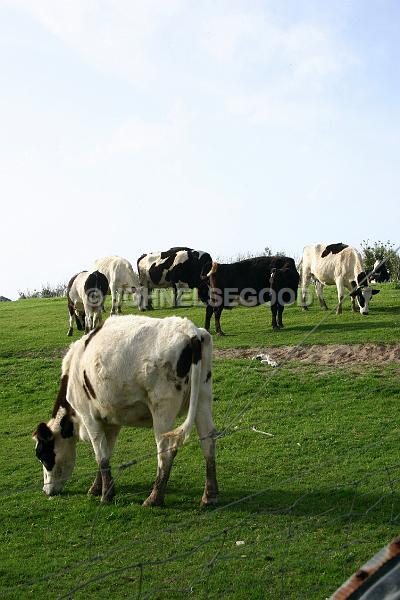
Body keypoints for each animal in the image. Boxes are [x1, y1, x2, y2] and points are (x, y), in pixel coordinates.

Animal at [32, 314, 217, 506]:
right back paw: (209, 496)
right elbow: (106, 453)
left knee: (166, 451)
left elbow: (100, 456)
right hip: (202, 398)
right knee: (208, 441)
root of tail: (190, 330)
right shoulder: (111, 421)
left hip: (162, 410)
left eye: (42, 455)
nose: (45, 490)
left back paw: (154, 498)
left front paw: (106, 495)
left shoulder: (89, 417)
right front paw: (97, 488)